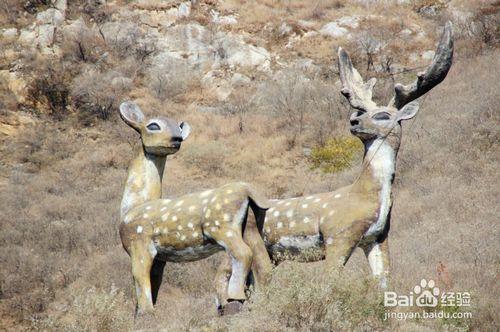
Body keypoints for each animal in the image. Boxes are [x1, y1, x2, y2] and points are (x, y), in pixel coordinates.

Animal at [117, 102, 274, 316]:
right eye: (153, 125)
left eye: (177, 126)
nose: (177, 138)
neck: (133, 206)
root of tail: (249, 191)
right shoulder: (160, 257)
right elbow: (154, 283)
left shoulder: (139, 242)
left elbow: (139, 277)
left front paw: (145, 313)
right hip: (251, 224)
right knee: (263, 263)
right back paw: (261, 302)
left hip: (221, 226)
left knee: (243, 253)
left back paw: (234, 297)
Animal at [215, 21, 454, 306]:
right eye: (361, 112)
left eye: (383, 115)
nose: (353, 122)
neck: (366, 196)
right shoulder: (338, 234)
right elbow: (330, 284)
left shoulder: (378, 237)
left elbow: (384, 283)